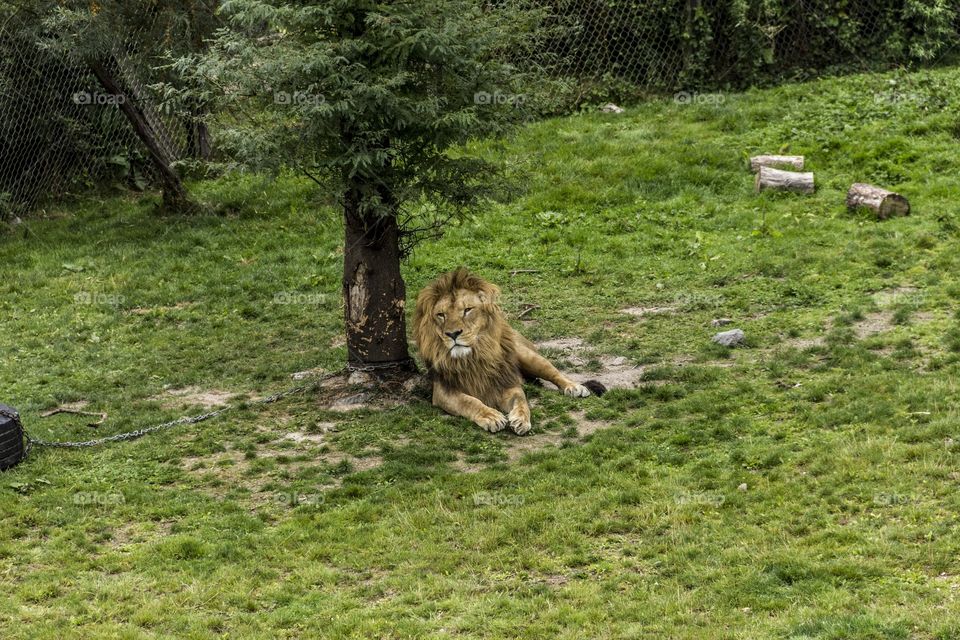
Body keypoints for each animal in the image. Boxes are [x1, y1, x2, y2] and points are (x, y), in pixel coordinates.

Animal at [414, 268, 608, 438]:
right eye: (441, 315)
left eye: (467, 310)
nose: (453, 334)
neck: (473, 356)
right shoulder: (443, 390)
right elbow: (469, 401)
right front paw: (491, 416)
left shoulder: (507, 381)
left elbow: (521, 399)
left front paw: (521, 420)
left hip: (527, 356)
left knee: (554, 372)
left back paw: (574, 387)